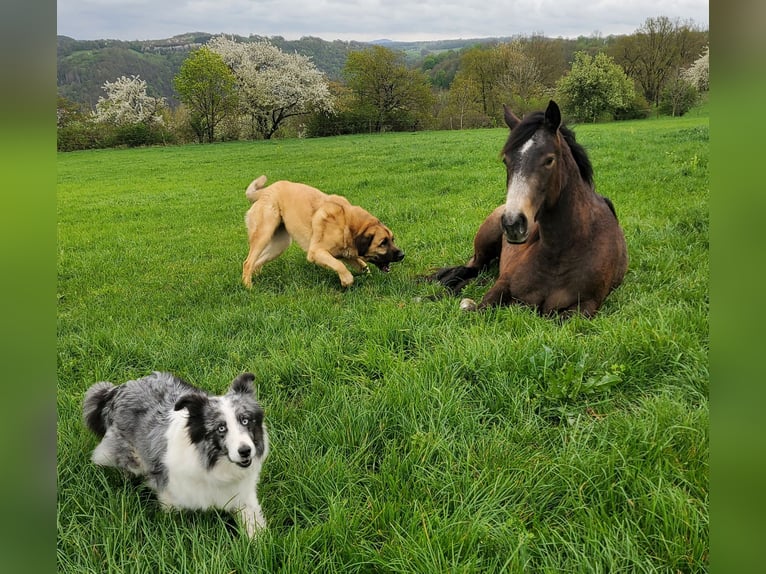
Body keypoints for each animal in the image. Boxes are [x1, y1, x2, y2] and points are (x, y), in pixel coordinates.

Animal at [243, 176, 404, 290]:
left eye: (393, 239)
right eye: (382, 243)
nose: (402, 255)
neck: (347, 224)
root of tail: (266, 190)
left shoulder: (346, 253)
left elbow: (363, 266)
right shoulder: (316, 252)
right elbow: (340, 266)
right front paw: (346, 281)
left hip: (280, 245)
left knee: (256, 261)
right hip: (264, 234)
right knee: (248, 262)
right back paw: (249, 287)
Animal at [432, 99, 632, 320]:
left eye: (549, 160)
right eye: (506, 161)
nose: (512, 224)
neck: (560, 253)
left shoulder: (587, 305)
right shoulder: (502, 284)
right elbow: (481, 306)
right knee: (472, 269)